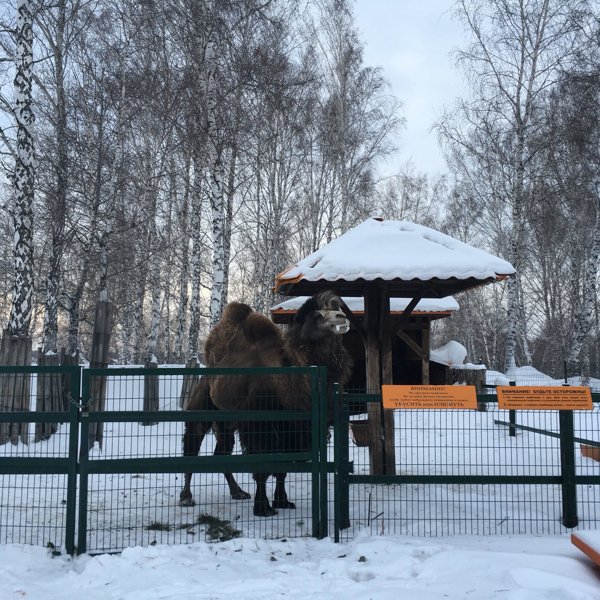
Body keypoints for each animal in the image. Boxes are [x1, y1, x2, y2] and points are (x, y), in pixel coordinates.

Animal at [178, 290, 352, 516]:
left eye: (337, 309)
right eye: (317, 315)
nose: (342, 318)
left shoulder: (294, 430)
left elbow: (282, 469)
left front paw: (282, 501)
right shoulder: (261, 426)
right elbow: (263, 467)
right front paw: (263, 507)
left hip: (226, 422)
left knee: (222, 452)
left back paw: (238, 492)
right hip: (202, 406)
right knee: (192, 445)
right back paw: (186, 497)